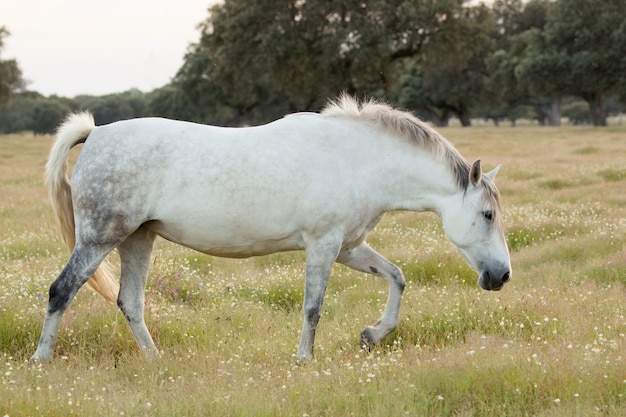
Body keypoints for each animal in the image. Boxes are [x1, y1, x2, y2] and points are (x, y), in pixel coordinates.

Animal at [29, 94, 510, 360]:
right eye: (488, 215)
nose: (502, 276)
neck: (360, 159)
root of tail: (95, 133)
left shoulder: (348, 247)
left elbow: (397, 277)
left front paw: (372, 335)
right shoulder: (323, 245)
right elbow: (313, 308)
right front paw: (304, 360)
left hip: (137, 239)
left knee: (130, 303)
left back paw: (155, 361)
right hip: (99, 239)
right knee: (61, 291)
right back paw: (41, 361)